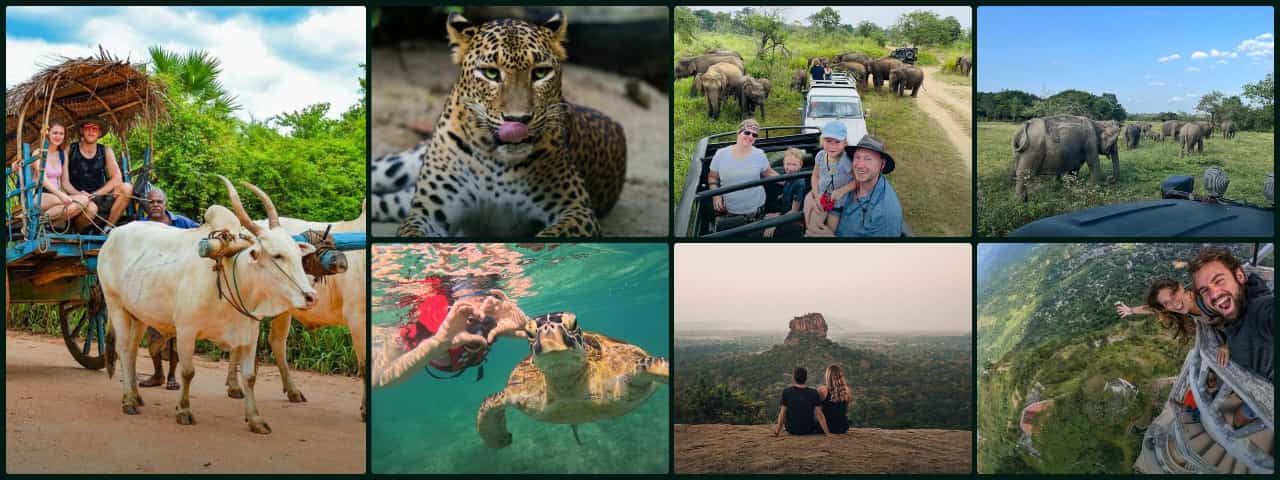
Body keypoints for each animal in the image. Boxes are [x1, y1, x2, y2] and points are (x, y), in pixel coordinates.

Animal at [383, 11, 627, 237]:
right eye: (491, 73)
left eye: (540, 72)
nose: (517, 120)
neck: (496, 162)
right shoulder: (429, 213)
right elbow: (411, 233)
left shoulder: (577, 210)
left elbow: (552, 236)